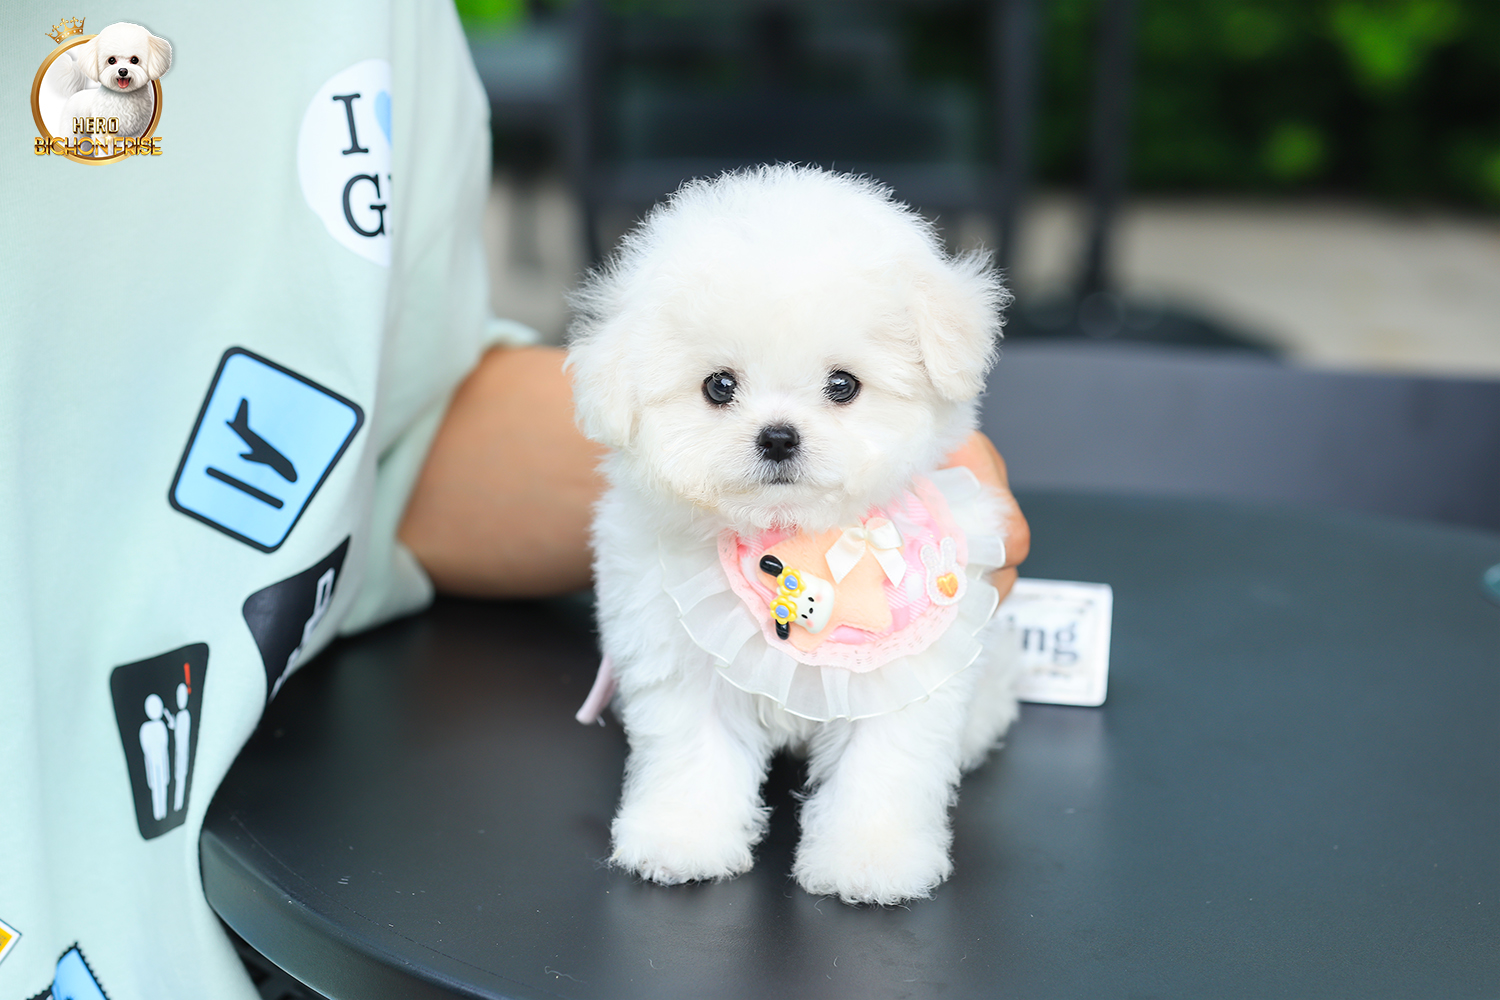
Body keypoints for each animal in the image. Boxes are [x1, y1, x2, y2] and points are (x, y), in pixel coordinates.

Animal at [567, 165, 1019, 905]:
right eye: (719, 386)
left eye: (843, 385)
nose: (778, 436)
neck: (797, 542)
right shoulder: (682, 654)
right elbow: (695, 751)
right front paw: (682, 836)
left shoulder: (906, 672)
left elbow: (883, 766)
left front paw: (870, 858)